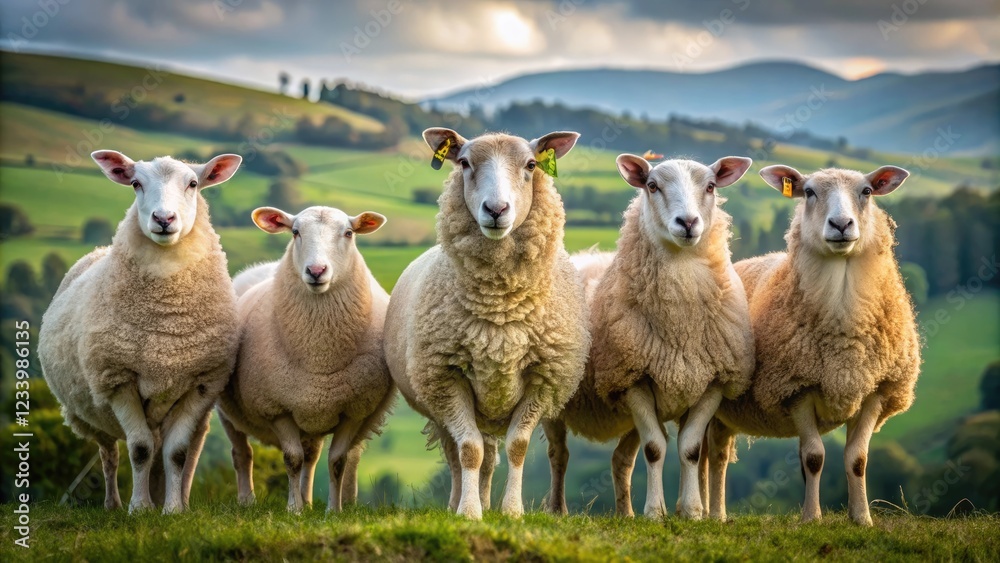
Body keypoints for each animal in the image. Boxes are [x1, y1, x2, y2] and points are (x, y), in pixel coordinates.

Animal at [38, 150, 243, 514]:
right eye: (135, 183)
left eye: (193, 183)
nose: (164, 218)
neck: (166, 323)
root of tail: (97, 251)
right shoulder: (118, 379)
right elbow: (139, 449)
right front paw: (141, 508)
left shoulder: (201, 384)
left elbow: (176, 453)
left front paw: (173, 510)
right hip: (92, 415)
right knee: (109, 455)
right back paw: (113, 504)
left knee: (181, 453)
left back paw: (175, 498)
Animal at [216, 205, 395, 513]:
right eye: (295, 232)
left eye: (349, 233)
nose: (316, 271)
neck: (319, 355)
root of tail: (263, 266)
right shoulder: (277, 407)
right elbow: (292, 459)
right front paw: (294, 510)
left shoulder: (353, 410)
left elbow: (336, 461)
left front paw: (332, 510)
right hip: (228, 411)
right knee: (242, 453)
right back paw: (248, 501)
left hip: (313, 413)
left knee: (311, 457)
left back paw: (309, 500)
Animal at [383, 127, 589, 520]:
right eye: (464, 162)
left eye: (531, 165)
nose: (496, 210)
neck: (500, 310)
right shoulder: (447, 377)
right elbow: (469, 451)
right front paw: (468, 512)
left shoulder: (542, 378)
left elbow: (517, 447)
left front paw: (511, 512)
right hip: (438, 400)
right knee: (459, 452)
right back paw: (459, 502)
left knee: (491, 455)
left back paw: (487, 501)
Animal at [544, 155, 756, 519]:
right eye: (652, 186)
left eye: (711, 186)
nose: (688, 222)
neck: (679, 325)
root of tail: (585, 255)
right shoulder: (632, 379)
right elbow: (655, 448)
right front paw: (656, 512)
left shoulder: (711, 382)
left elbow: (690, 449)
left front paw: (691, 511)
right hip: (554, 397)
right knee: (559, 454)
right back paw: (558, 509)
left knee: (621, 460)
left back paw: (625, 514)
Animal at [706, 165, 921, 526]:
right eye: (808, 192)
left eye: (867, 191)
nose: (841, 224)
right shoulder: (796, 387)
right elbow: (814, 457)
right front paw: (811, 518)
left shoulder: (875, 390)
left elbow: (857, 459)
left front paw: (861, 518)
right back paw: (705, 513)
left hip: (723, 413)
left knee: (716, 456)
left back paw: (714, 514)